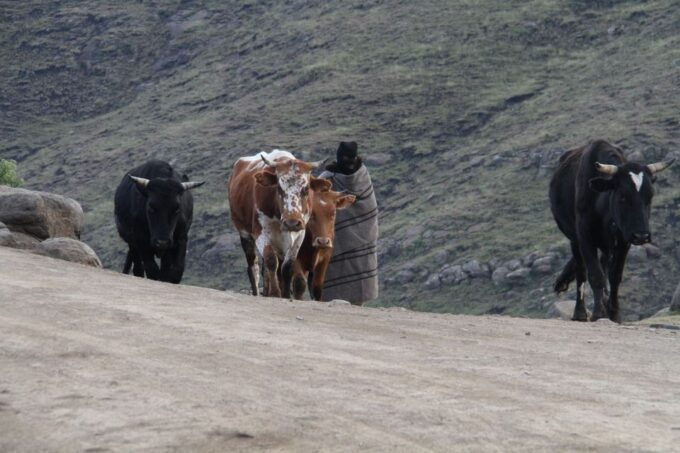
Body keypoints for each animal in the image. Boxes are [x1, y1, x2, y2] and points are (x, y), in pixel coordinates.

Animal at [228, 148, 330, 296]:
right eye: (279, 188)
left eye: (306, 189)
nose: (292, 223)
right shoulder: (260, 232)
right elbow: (271, 260)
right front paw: (276, 293)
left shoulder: (299, 235)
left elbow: (287, 267)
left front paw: (286, 295)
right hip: (244, 233)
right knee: (253, 267)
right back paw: (257, 292)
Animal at [548, 138, 672, 322]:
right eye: (622, 196)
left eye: (650, 196)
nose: (642, 236)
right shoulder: (585, 237)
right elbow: (595, 275)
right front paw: (598, 313)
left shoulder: (623, 240)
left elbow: (614, 276)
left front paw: (614, 314)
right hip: (574, 239)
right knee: (581, 271)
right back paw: (580, 313)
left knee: (603, 265)